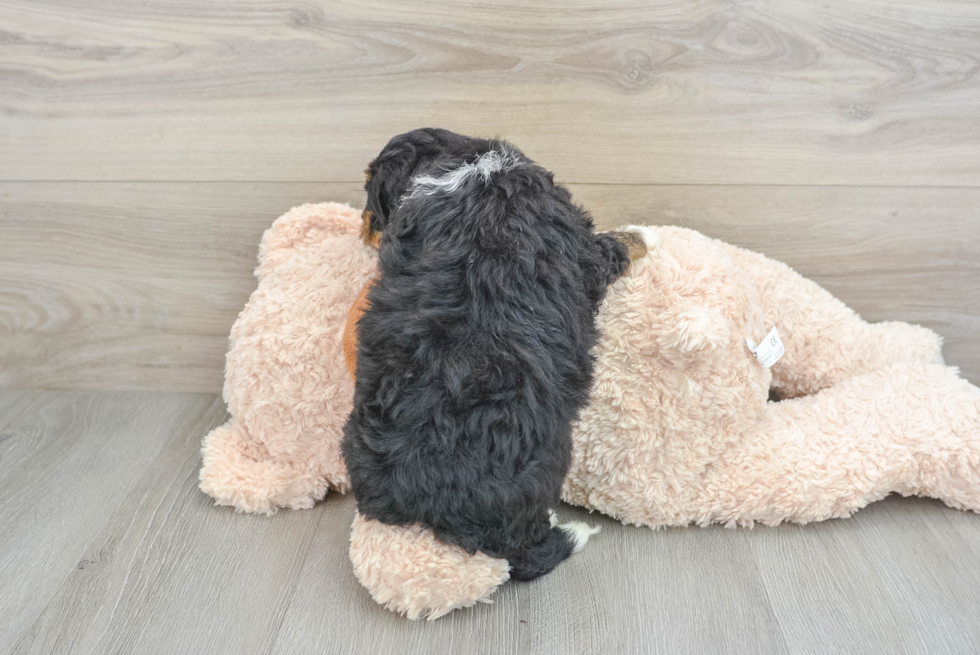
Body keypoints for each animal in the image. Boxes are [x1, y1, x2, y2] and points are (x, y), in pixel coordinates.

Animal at [344, 131, 652, 580]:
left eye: (372, 201)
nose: (361, 229)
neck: (471, 168)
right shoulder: (585, 253)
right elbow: (613, 246)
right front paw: (644, 233)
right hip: (547, 464)